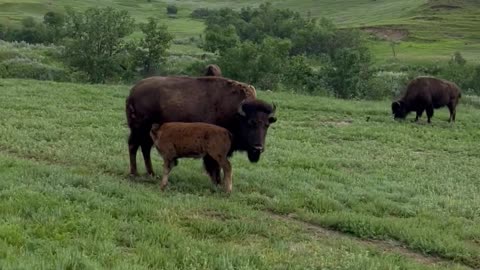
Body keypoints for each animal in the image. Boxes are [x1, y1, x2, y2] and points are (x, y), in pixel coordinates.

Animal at [125, 75, 278, 177]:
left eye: (267, 125)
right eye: (250, 123)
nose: (258, 148)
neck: (235, 112)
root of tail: (133, 91)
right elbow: (214, 165)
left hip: (149, 132)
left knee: (144, 148)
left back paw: (151, 173)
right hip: (139, 129)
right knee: (133, 145)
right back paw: (134, 173)